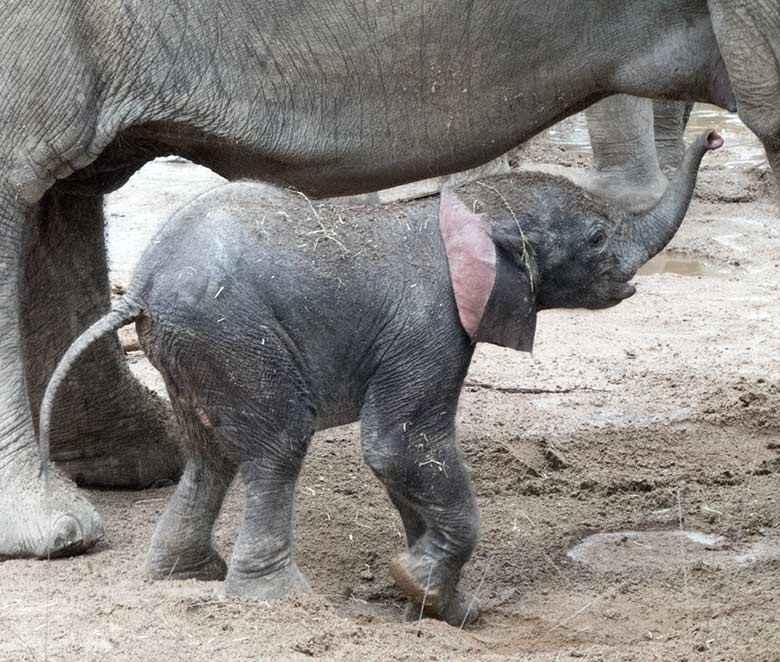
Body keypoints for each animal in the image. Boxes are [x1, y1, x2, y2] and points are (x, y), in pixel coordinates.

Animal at [38, 130, 720, 628]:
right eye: (598, 237)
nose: (712, 137)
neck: (468, 207)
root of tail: (142, 290)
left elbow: (408, 466)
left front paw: (442, 605)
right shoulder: (431, 326)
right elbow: (401, 447)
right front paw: (421, 587)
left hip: (194, 346)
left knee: (212, 454)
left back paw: (187, 576)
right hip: (234, 334)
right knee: (277, 446)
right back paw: (277, 600)